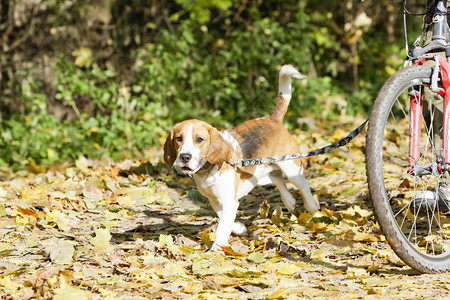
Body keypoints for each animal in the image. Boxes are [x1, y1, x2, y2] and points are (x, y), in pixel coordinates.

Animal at [163, 65, 318, 251]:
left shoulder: (229, 200)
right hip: (262, 172)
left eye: (199, 139)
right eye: (179, 138)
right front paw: (239, 228)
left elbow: (222, 226)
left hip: (291, 167)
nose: (185, 157)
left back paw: (312, 207)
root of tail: (273, 120)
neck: (209, 169)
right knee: (278, 180)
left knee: (303, 185)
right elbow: (223, 217)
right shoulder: (216, 200)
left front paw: (216, 248)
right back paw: (289, 202)